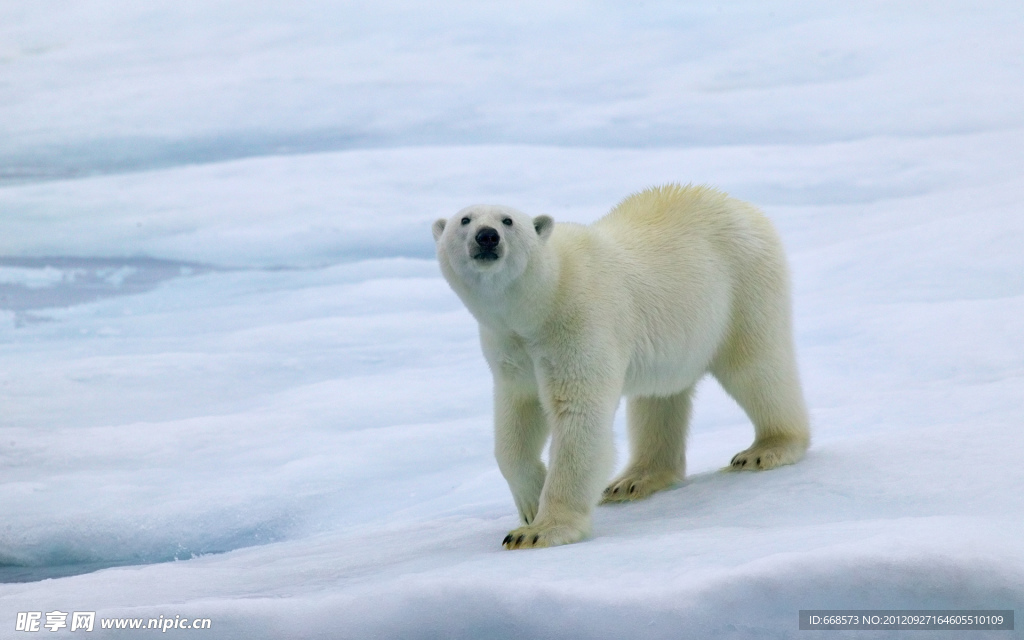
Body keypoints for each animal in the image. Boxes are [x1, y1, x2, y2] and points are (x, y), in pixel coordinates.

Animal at [430, 182, 806, 544]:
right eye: (465, 220)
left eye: (508, 220)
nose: (487, 236)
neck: (542, 300)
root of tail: (741, 205)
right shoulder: (510, 345)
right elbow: (518, 415)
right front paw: (531, 502)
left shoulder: (578, 324)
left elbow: (578, 416)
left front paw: (538, 531)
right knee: (658, 397)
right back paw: (634, 480)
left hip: (743, 287)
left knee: (756, 369)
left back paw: (766, 449)